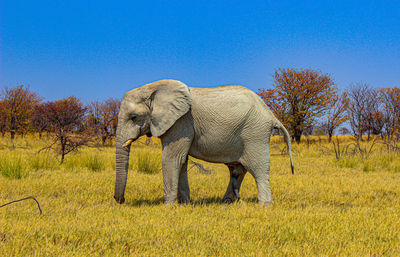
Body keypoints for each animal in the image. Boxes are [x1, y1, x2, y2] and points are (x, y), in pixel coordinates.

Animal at [113, 79, 294, 205]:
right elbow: (182, 161)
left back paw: (264, 205)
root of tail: (271, 114)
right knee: (239, 170)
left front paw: (168, 206)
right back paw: (227, 203)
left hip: (255, 133)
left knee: (258, 168)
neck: (153, 89)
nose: (119, 200)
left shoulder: (181, 121)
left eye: (134, 117)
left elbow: (172, 158)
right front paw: (185, 204)